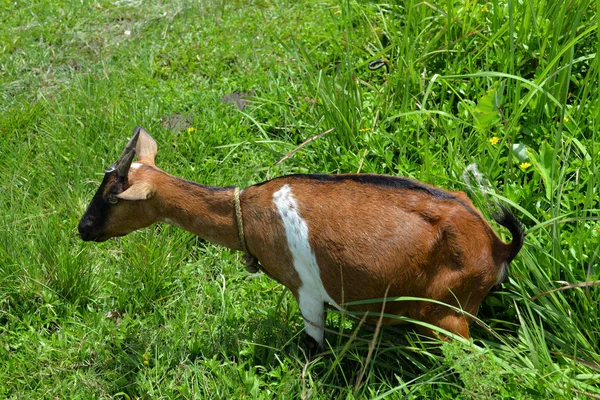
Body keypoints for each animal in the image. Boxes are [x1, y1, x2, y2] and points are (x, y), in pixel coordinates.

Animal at [77, 127, 524, 350]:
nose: (82, 229)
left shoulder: (307, 291)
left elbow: (313, 346)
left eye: (111, 197)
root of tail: (496, 245)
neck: (249, 211)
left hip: (449, 314)